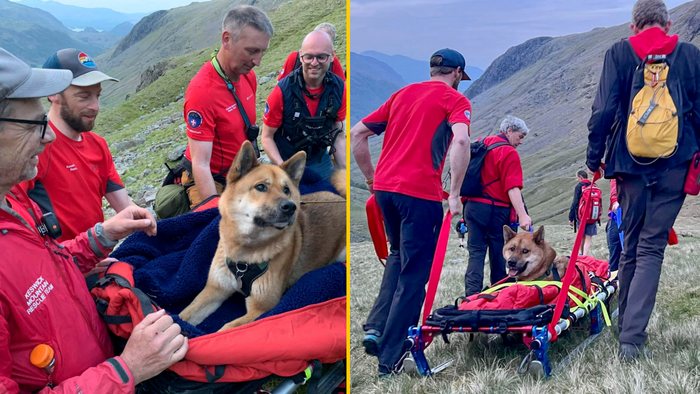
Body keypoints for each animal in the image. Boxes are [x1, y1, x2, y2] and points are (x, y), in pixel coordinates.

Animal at [179, 140, 346, 330]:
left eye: (286, 190)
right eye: (260, 187)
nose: (291, 207)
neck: (244, 255)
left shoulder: (261, 308)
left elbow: (226, 329)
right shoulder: (214, 290)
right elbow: (184, 315)